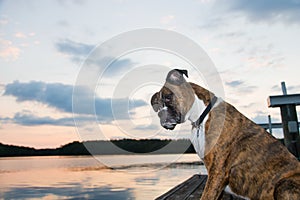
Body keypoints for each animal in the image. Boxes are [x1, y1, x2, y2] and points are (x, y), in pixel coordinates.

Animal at [152, 69, 300, 200]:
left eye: (168, 97)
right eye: (157, 106)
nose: (160, 114)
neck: (202, 116)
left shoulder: (218, 171)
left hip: (285, 185)